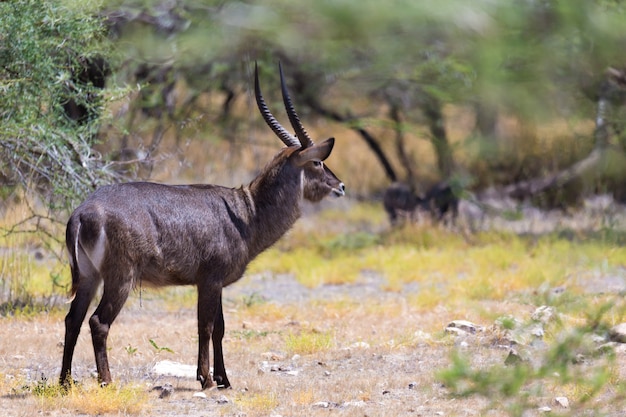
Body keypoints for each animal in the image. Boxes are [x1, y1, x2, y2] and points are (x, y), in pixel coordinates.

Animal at [60, 62, 344, 390]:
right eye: (317, 163)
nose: (341, 186)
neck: (247, 213)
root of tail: (83, 212)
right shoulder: (210, 279)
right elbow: (206, 326)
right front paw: (207, 379)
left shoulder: (212, 283)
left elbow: (219, 327)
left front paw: (223, 379)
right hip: (120, 277)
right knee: (98, 321)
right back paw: (106, 380)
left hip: (89, 277)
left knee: (72, 319)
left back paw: (65, 382)